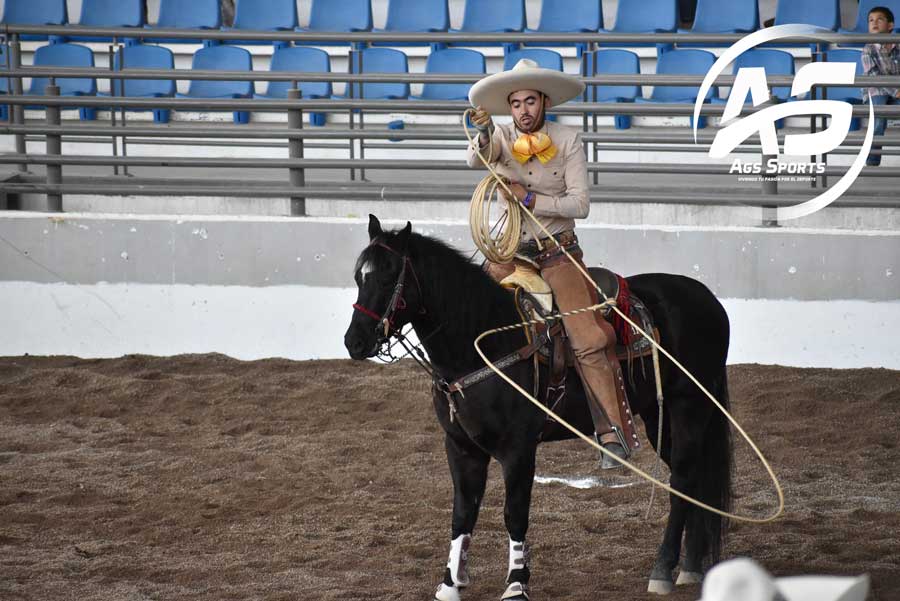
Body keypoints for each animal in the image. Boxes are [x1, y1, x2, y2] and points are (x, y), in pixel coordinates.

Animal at [344, 214, 732, 596]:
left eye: (388, 277)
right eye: (359, 277)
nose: (354, 341)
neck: (483, 343)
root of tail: (708, 298)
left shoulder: (518, 448)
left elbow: (514, 513)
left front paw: (517, 581)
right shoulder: (461, 447)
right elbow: (462, 513)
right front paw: (450, 583)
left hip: (690, 406)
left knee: (682, 477)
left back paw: (663, 569)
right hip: (656, 416)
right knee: (692, 480)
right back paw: (691, 567)